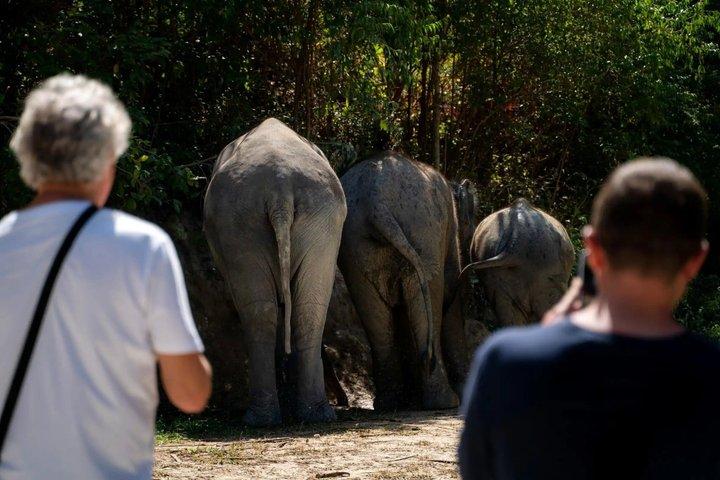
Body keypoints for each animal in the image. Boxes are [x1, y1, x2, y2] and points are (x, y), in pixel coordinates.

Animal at [203, 118, 346, 426]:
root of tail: (279, 188)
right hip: (320, 218)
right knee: (307, 307)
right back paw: (313, 415)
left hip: (240, 220)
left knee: (259, 310)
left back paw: (260, 419)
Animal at [337, 151, 477, 411]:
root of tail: (376, 200)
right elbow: (451, 300)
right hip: (424, 229)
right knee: (431, 295)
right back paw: (445, 402)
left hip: (355, 247)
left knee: (374, 315)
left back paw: (390, 403)